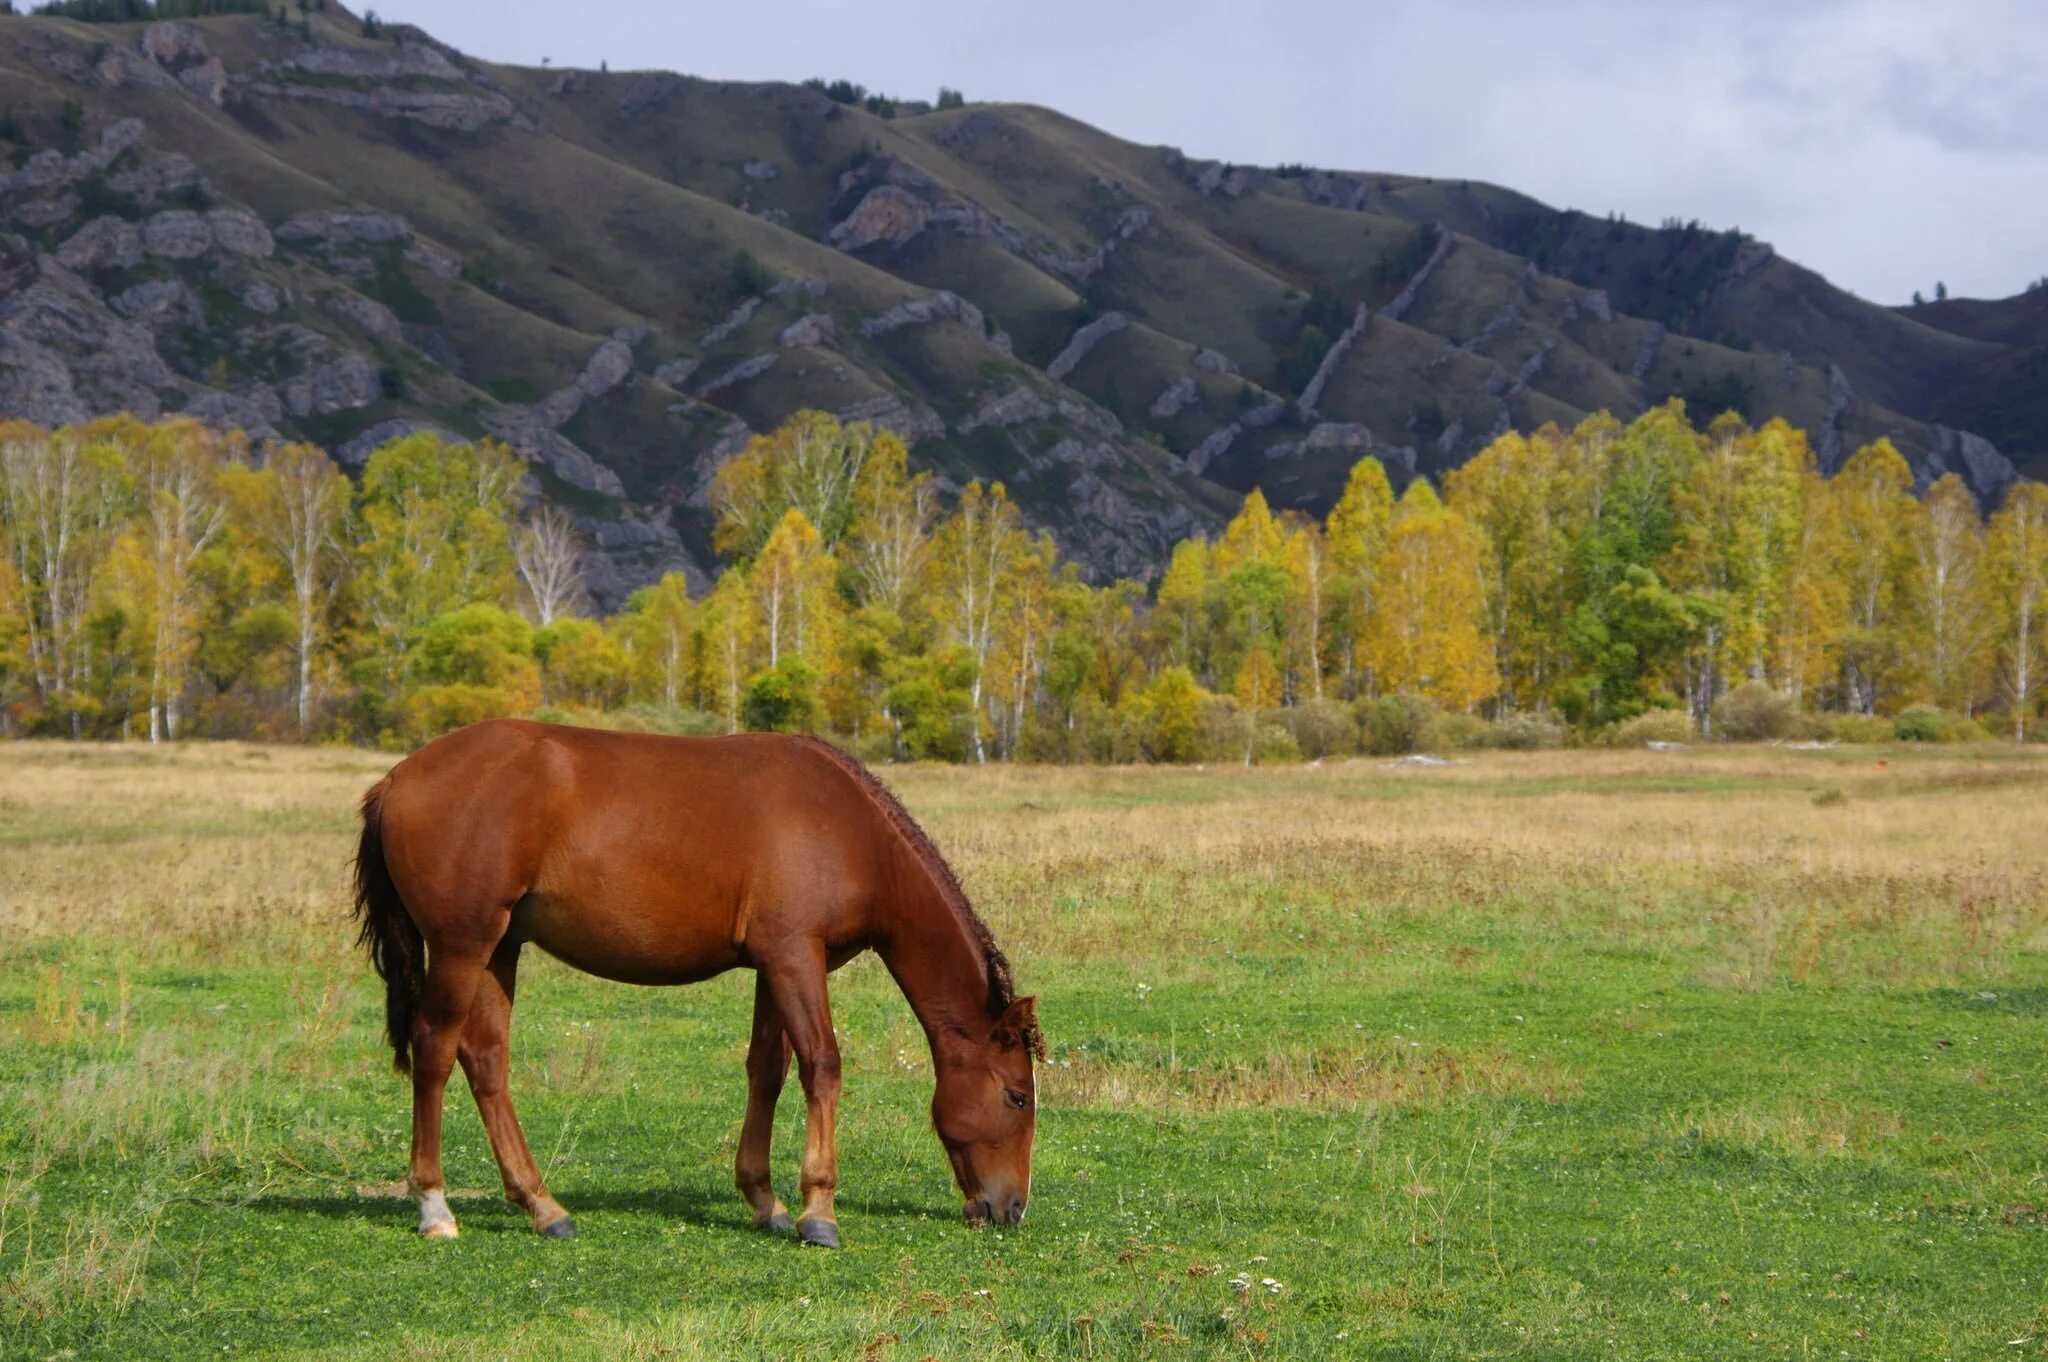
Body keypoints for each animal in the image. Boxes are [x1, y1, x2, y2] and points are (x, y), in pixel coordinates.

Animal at [350, 716, 1040, 1245]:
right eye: (1017, 1097)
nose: (1012, 1209)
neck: (852, 834)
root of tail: (397, 778)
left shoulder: (775, 964)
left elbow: (768, 1070)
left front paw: (765, 1202)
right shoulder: (795, 957)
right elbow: (822, 1065)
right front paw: (818, 1210)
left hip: (501, 949)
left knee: (486, 1060)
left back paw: (543, 1207)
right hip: (463, 945)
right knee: (436, 1049)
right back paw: (435, 1205)